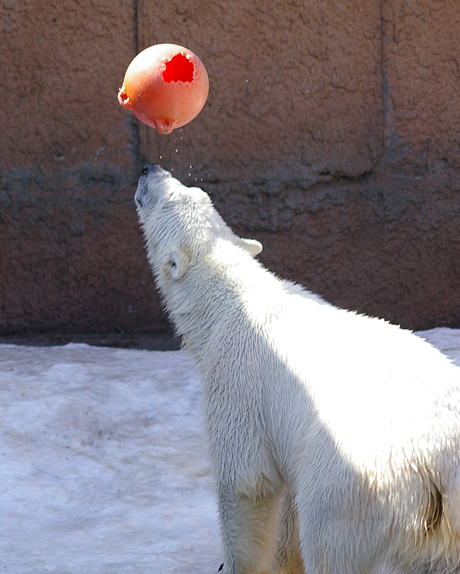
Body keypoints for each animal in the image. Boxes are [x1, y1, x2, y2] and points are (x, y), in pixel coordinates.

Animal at [135, 165, 460, 574]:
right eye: (192, 188)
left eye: (171, 195)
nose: (149, 169)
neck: (230, 300)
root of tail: (444, 463)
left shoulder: (237, 384)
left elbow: (246, 483)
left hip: (360, 484)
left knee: (329, 542)